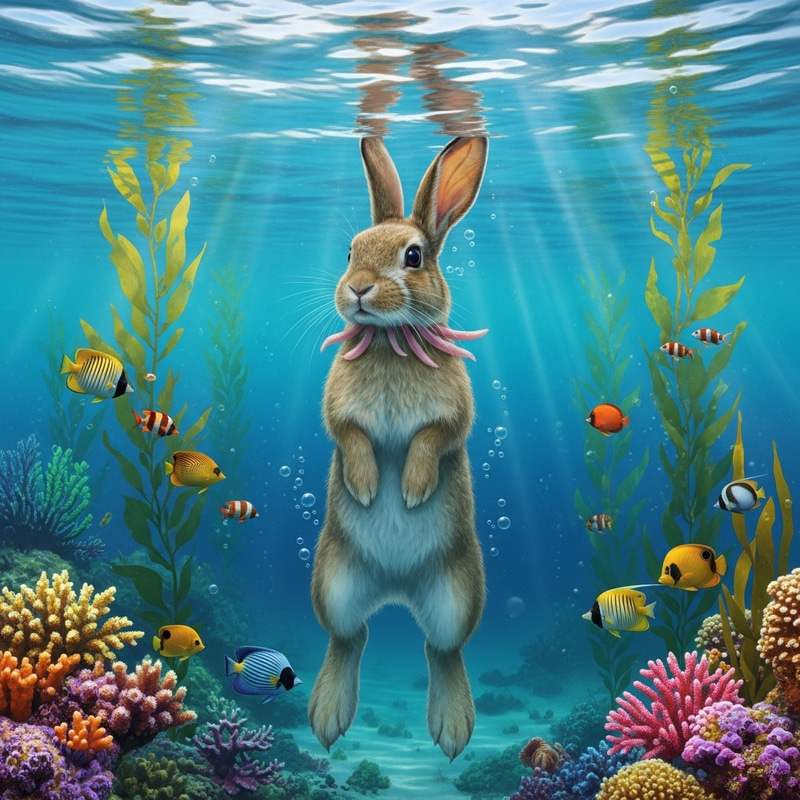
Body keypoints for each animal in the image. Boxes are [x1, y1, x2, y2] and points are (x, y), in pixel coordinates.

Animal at [309, 136, 488, 761]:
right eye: (349, 251)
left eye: (414, 257)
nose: (358, 288)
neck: (390, 340)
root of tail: (395, 586)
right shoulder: (339, 414)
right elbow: (351, 436)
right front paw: (366, 486)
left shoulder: (454, 416)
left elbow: (433, 439)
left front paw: (410, 490)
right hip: (333, 582)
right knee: (350, 637)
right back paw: (328, 713)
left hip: (460, 592)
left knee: (443, 649)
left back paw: (452, 727)